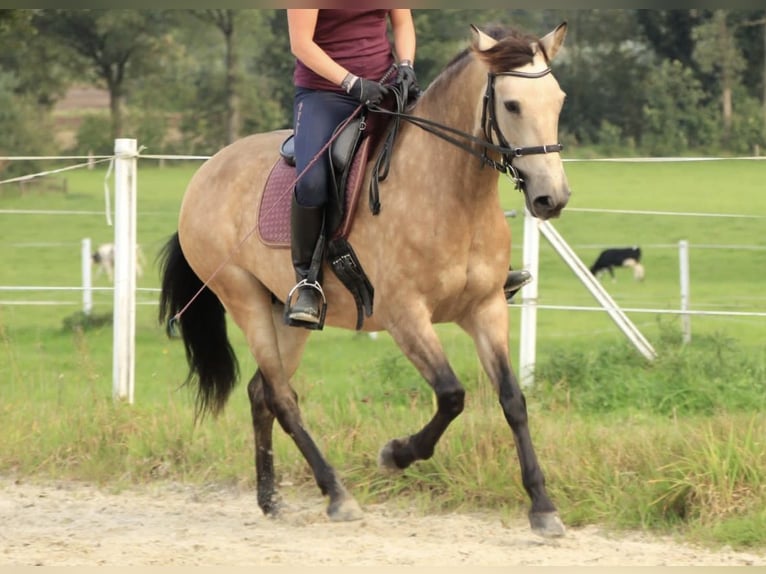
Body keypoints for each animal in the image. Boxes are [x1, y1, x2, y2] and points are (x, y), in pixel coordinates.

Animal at [159, 20, 572, 536]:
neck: (451, 192)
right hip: (244, 299)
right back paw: (337, 495)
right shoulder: (406, 316)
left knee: (261, 394)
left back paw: (270, 498)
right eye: (512, 105)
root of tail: (205, 171)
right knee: (281, 397)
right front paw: (396, 454)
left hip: (287, 315)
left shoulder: (486, 309)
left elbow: (513, 399)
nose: (551, 199)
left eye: (558, 100)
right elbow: (452, 395)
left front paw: (542, 506)